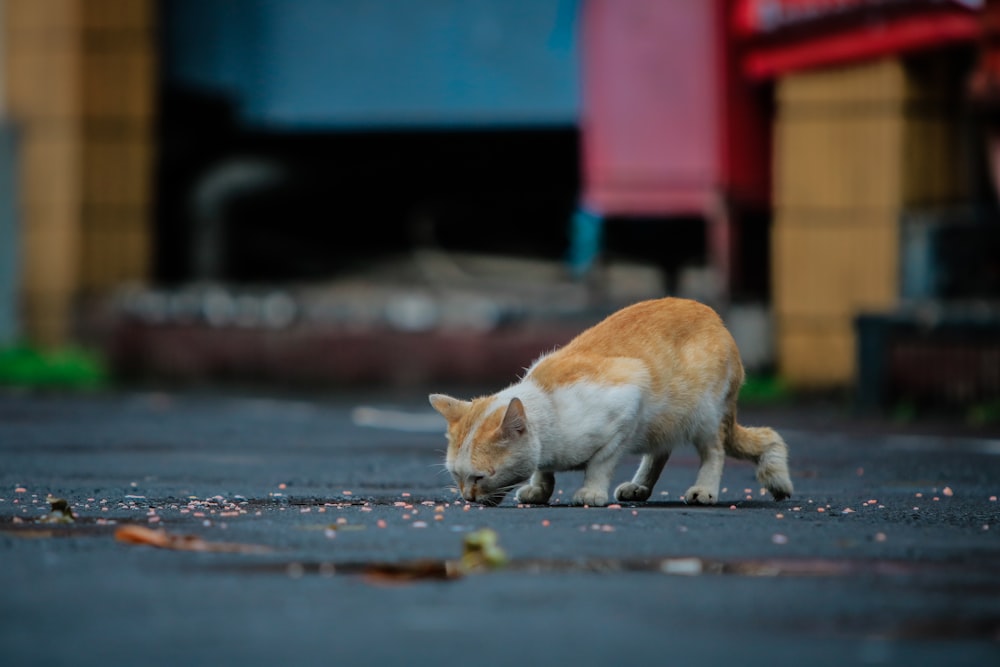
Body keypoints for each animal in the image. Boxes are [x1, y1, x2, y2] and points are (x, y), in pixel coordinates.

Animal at [426, 298, 792, 506]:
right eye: (456, 476)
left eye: (479, 477)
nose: (467, 498)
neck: (548, 404)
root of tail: (715, 318)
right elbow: (544, 469)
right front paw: (540, 489)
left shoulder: (629, 400)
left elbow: (601, 463)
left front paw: (591, 492)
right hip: (666, 423)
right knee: (661, 451)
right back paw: (639, 487)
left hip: (702, 415)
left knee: (714, 451)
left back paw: (704, 489)